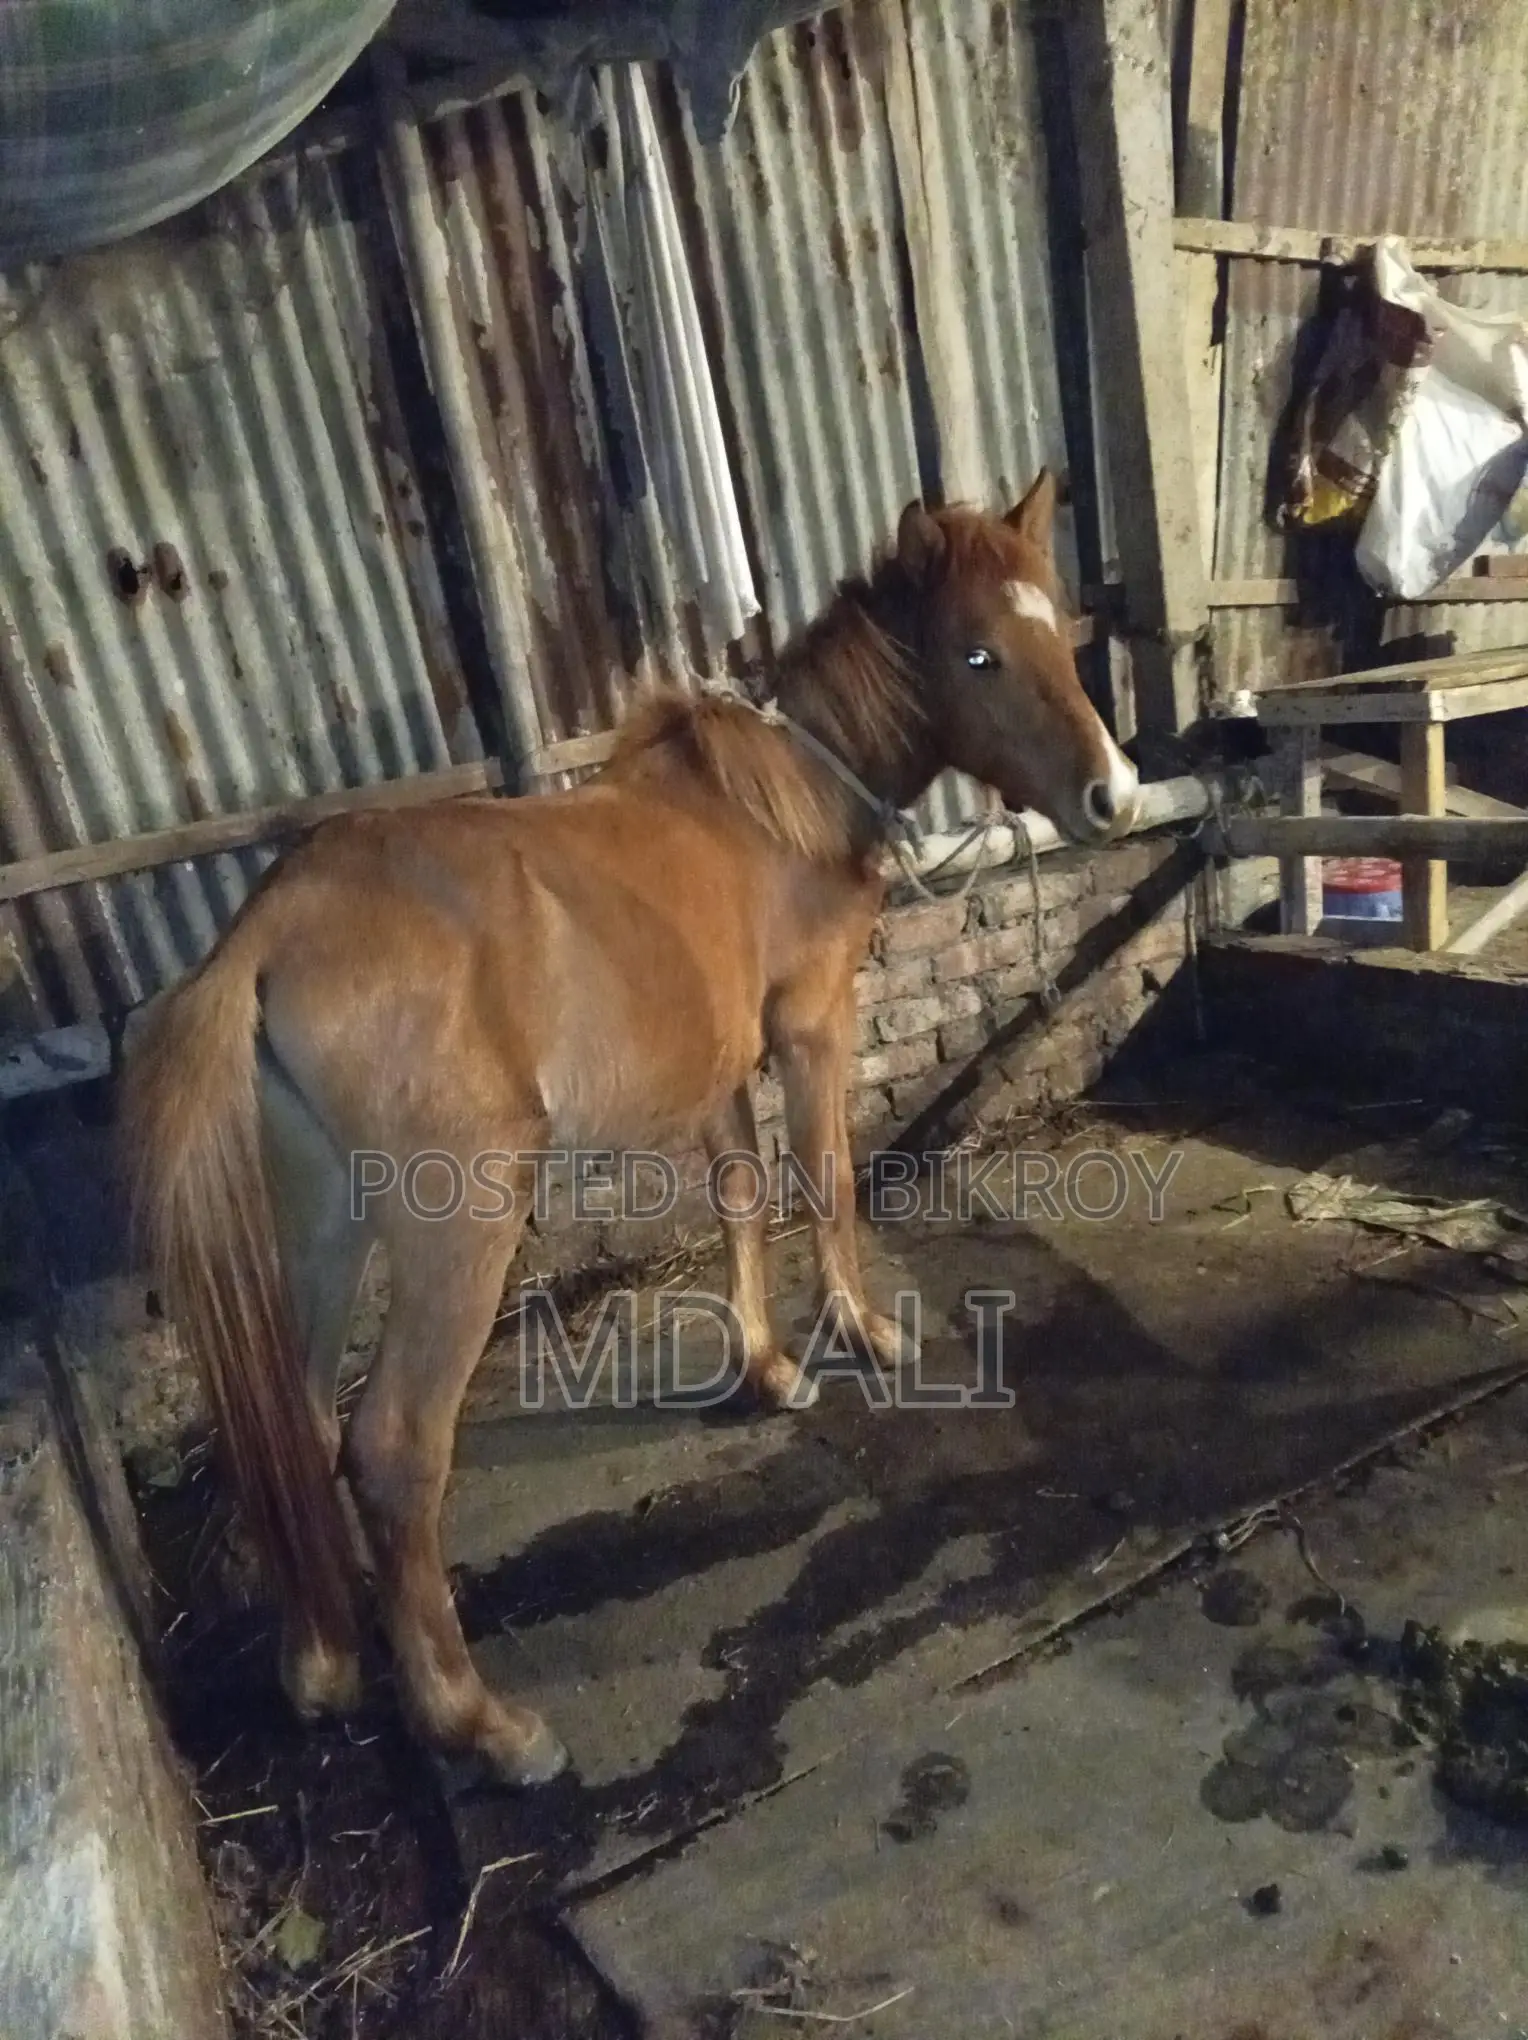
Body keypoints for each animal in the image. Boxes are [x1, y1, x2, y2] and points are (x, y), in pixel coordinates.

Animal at [119, 470, 1139, 1788]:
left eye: (1055, 632)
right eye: (977, 654)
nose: (1114, 795)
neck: (779, 809)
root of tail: (262, 935)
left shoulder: (717, 1072)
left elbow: (744, 1197)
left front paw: (768, 1368)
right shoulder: (810, 1032)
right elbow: (826, 1181)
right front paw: (864, 1334)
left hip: (325, 1228)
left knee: (293, 1417)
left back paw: (327, 1660)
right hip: (457, 1228)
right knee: (390, 1446)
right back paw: (477, 1721)